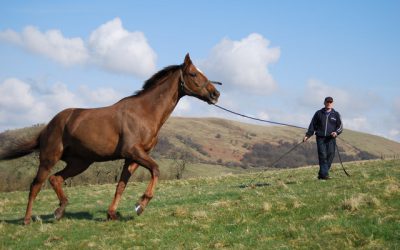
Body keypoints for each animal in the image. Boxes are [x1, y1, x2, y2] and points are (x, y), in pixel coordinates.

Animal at [0, 53, 220, 225]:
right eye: (193, 74)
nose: (215, 93)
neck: (144, 112)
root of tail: (49, 125)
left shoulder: (133, 158)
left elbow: (121, 185)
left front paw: (112, 214)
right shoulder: (133, 151)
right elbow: (156, 170)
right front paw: (140, 205)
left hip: (80, 163)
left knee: (56, 179)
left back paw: (59, 211)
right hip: (49, 158)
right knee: (35, 185)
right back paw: (28, 220)